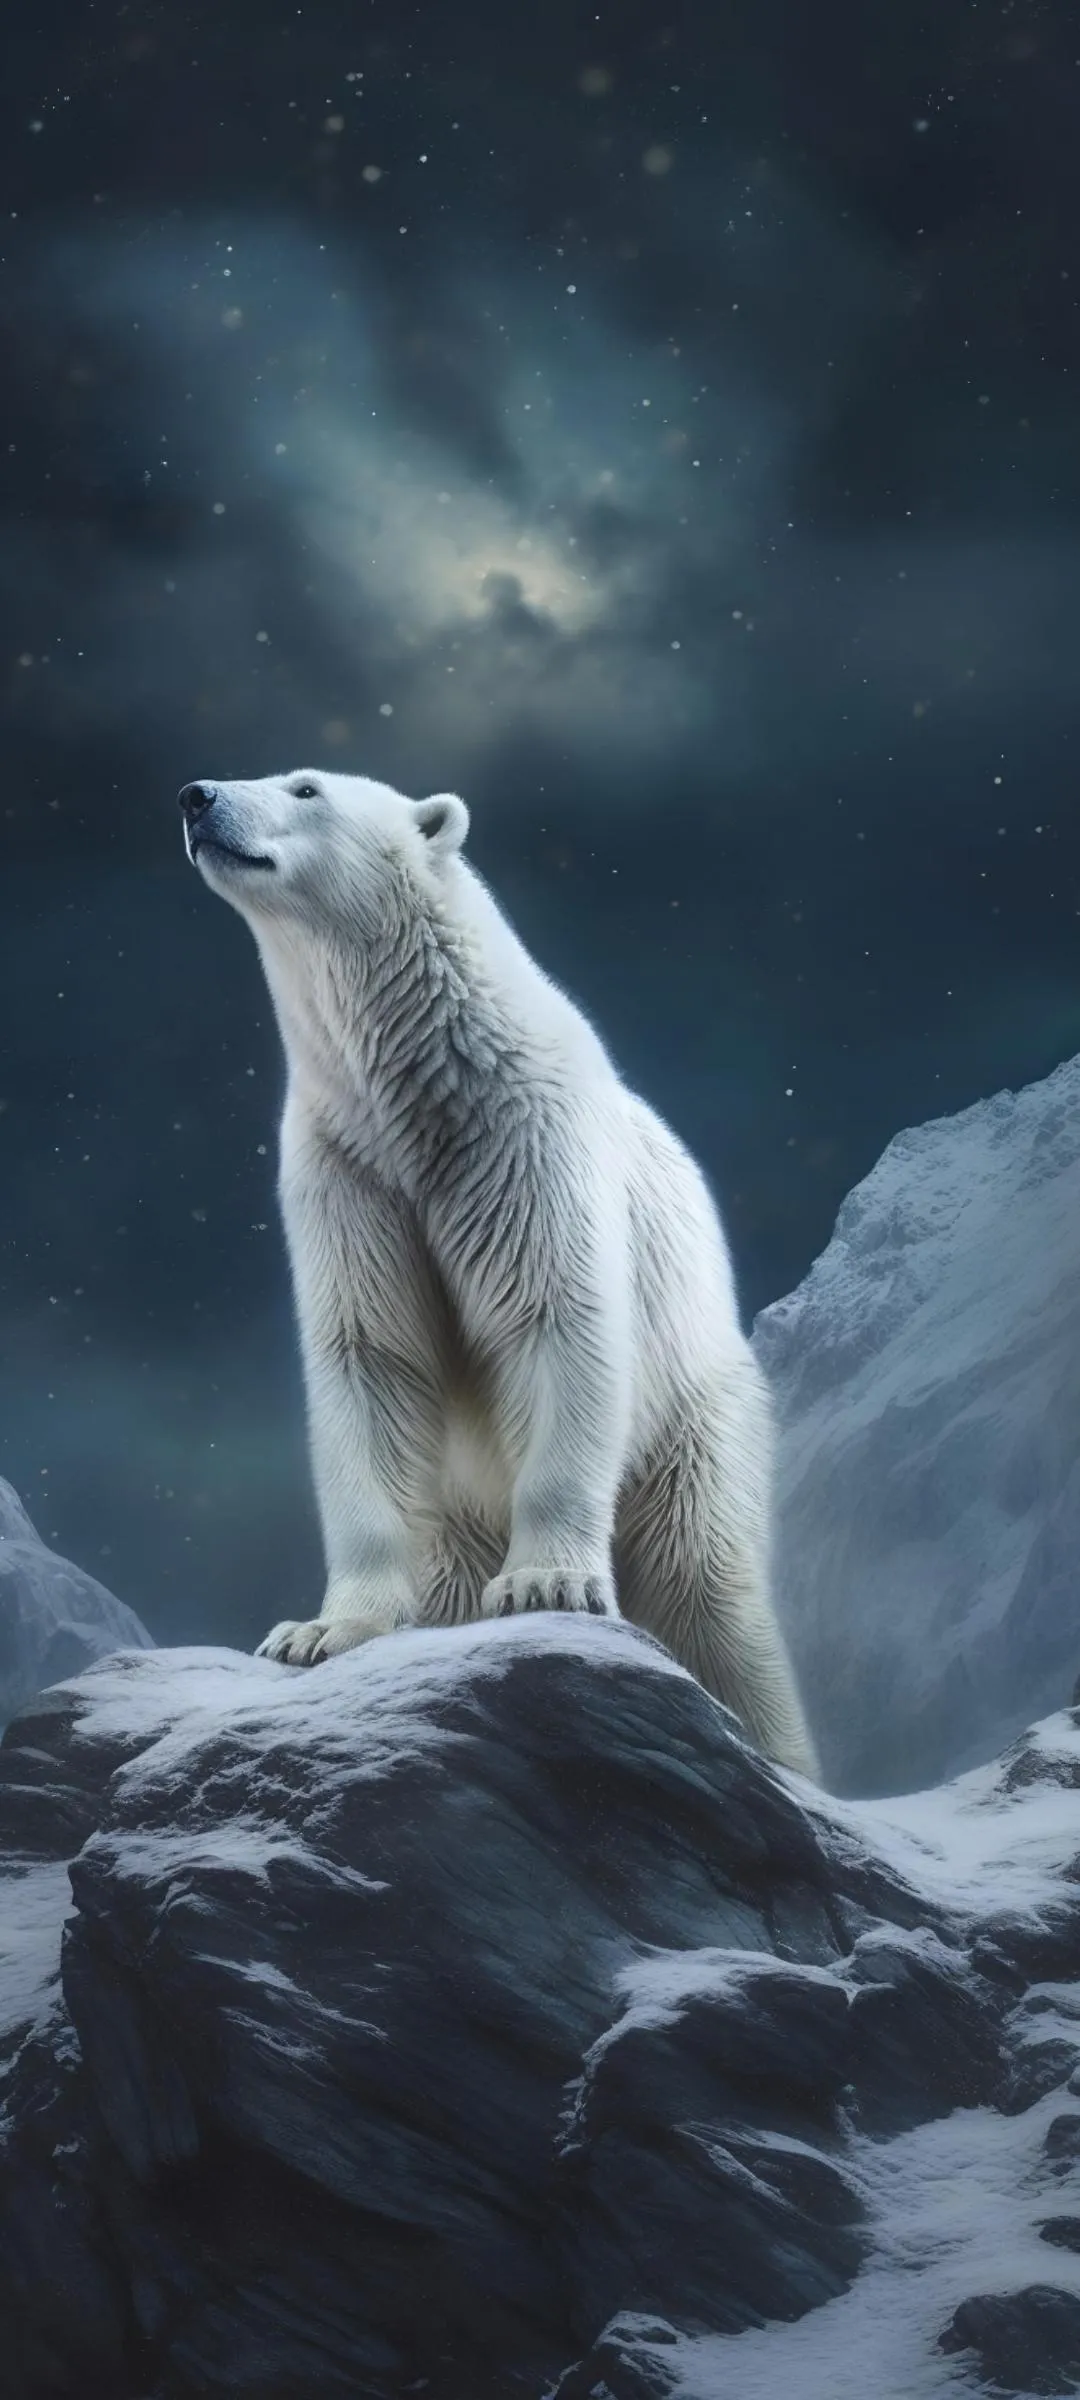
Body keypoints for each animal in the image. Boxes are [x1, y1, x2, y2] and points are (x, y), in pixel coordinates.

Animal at [179, 767, 818, 1778]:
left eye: (306, 786)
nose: (196, 795)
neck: (424, 1083)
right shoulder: (347, 1171)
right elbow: (371, 1357)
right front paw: (318, 1632)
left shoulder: (523, 1141)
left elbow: (556, 1319)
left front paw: (545, 1582)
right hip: (459, 1514)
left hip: (694, 1427)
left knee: (712, 1597)